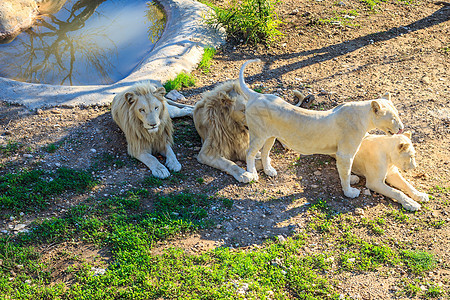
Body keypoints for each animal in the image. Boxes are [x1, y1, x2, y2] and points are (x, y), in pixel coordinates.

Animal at [241, 59, 406, 198]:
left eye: (398, 115)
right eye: (393, 118)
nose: (401, 128)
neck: (365, 118)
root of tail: (256, 95)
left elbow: (345, 172)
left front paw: (352, 181)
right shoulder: (345, 154)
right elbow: (345, 172)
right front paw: (349, 192)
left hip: (270, 135)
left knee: (265, 152)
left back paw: (269, 171)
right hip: (258, 134)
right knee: (249, 153)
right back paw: (252, 174)